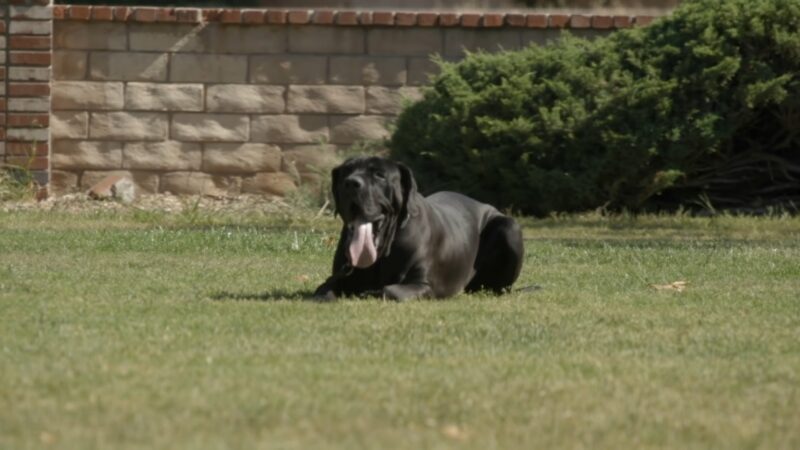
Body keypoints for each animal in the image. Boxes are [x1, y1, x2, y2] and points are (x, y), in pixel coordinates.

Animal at [312, 156, 524, 300]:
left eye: (379, 175)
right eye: (345, 172)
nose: (351, 183)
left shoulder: (422, 284)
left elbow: (391, 290)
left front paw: (370, 292)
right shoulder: (338, 277)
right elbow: (324, 290)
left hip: (510, 227)